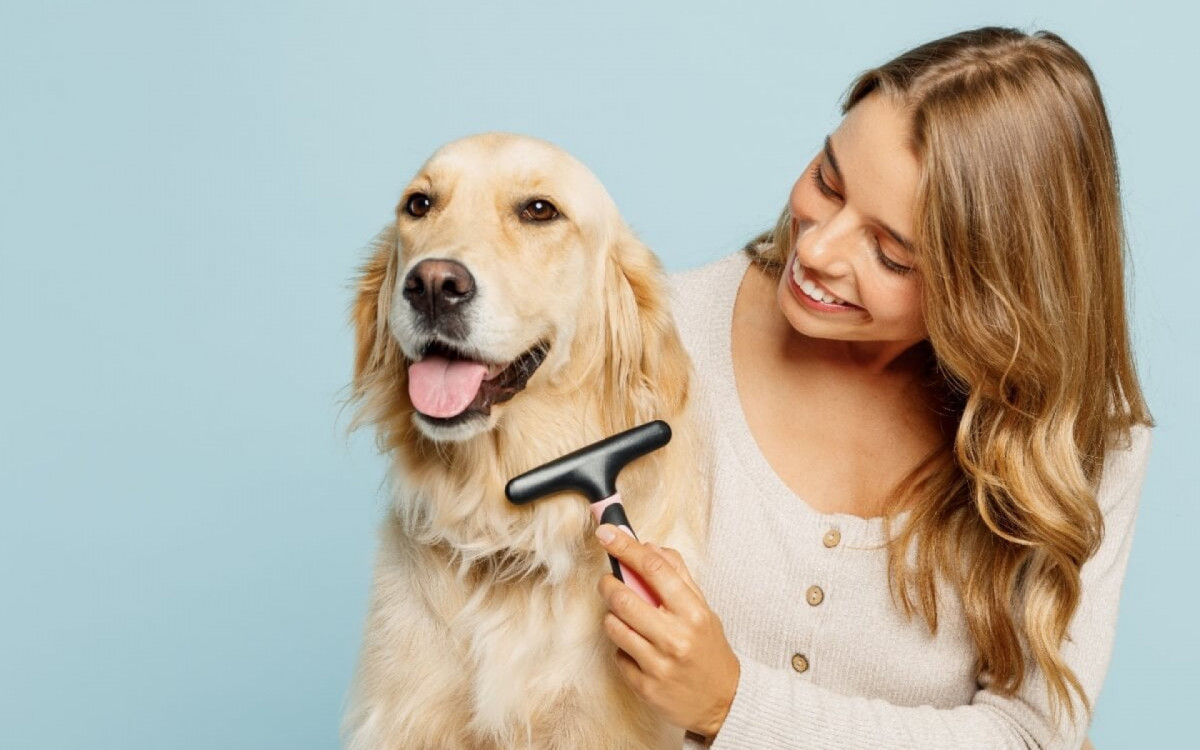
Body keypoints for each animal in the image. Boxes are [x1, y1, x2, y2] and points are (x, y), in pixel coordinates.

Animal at [343, 134, 705, 748]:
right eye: (419, 205)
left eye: (539, 210)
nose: (432, 284)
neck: (499, 527)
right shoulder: (406, 715)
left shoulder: (597, 726)